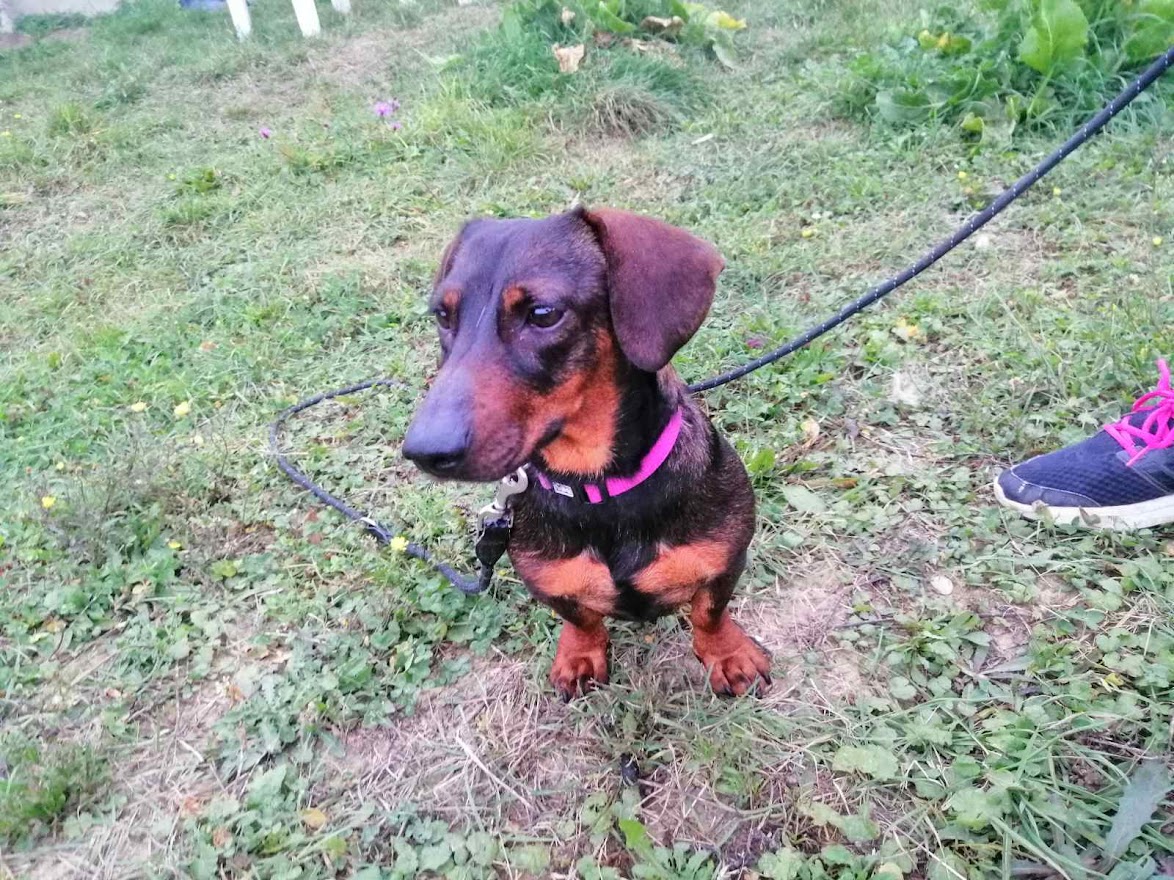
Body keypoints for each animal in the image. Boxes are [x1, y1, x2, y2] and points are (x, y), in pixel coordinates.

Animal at [402, 206, 771, 700]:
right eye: (442, 315)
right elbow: (582, 618)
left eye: (543, 314)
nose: (425, 450)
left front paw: (728, 655)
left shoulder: (725, 562)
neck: (598, 487)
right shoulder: (550, 584)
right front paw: (580, 654)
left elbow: (709, 613)